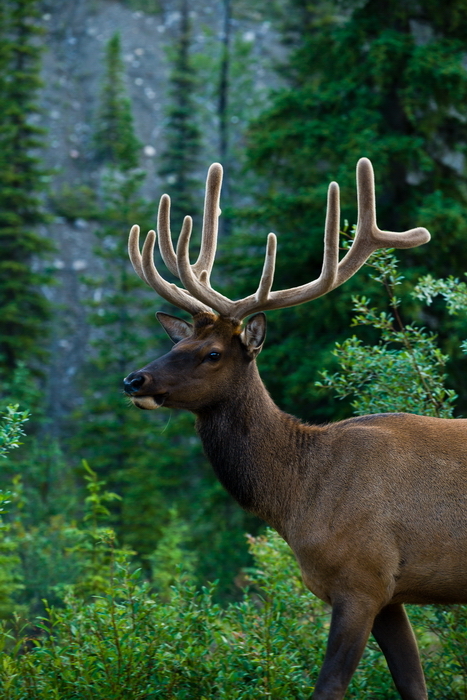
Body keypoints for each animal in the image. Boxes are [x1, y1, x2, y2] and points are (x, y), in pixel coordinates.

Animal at [121, 160, 467, 700]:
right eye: (176, 344)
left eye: (212, 353)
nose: (134, 379)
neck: (298, 493)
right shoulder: (389, 594)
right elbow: (414, 684)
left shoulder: (361, 579)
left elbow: (329, 686)